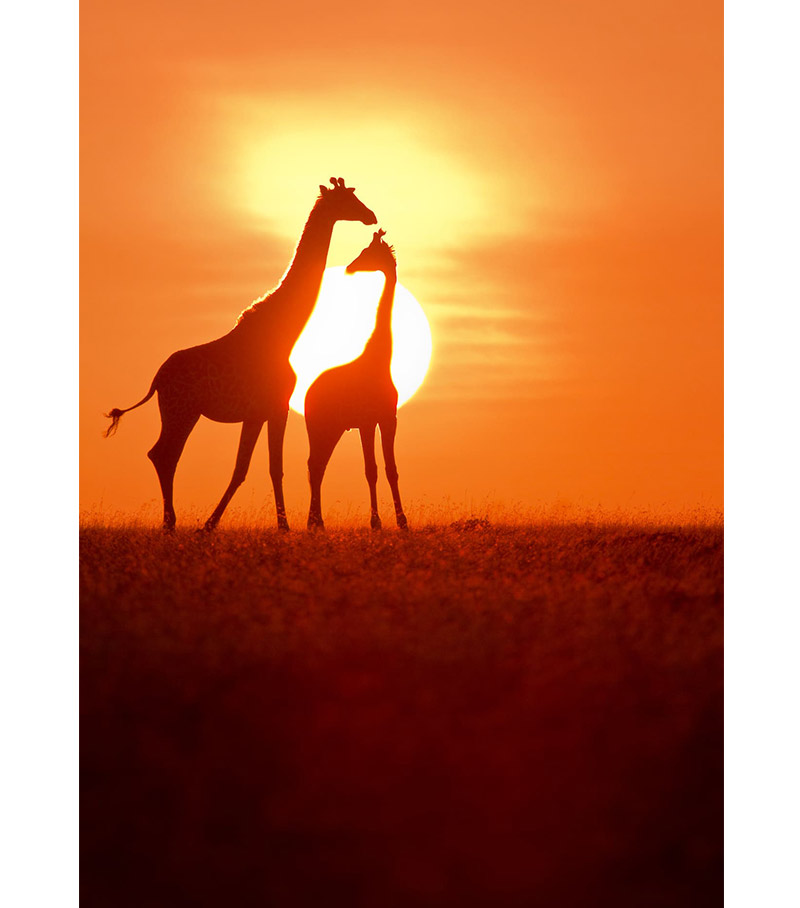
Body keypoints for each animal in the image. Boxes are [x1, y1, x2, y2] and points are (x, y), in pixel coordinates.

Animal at [104, 178, 377, 531]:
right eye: (347, 200)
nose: (371, 216)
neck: (285, 334)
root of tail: (157, 379)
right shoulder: (276, 406)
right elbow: (267, 467)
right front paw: (278, 526)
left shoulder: (258, 412)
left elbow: (248, 468)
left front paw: (216, 524)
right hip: (181, 410)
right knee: (164, 454)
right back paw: (169, 523)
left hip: (182, 412)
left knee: (161, 454)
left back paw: (171, 522)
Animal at [305, 230, 408, 532]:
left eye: (367, 252)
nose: (350, 267)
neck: (380, 360)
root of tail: (307, 393)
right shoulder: (366, 421)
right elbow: (370, 470)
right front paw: (376, 522)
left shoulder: (388, 418)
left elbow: (391, 469)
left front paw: (403, 521)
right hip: (318, 425)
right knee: (314, 465)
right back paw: (316, 523)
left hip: (334, 428)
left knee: (318, 465)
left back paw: (316, 522)